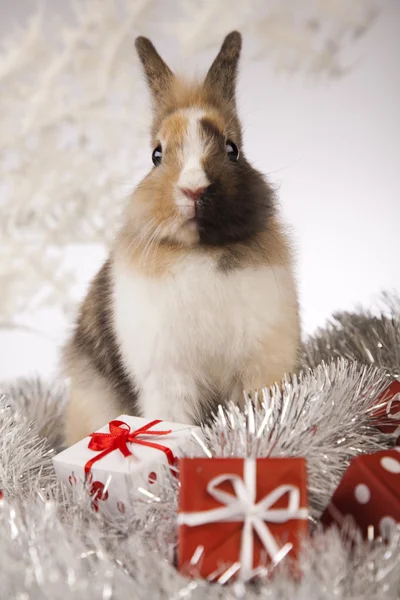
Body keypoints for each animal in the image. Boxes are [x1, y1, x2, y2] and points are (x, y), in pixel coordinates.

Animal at [63, 31, 300, 446]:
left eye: (233, 150)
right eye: (156, 155)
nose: (193, 189)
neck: (199, 252)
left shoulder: (261, 362)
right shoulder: (168, 377)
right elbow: (174, 417)